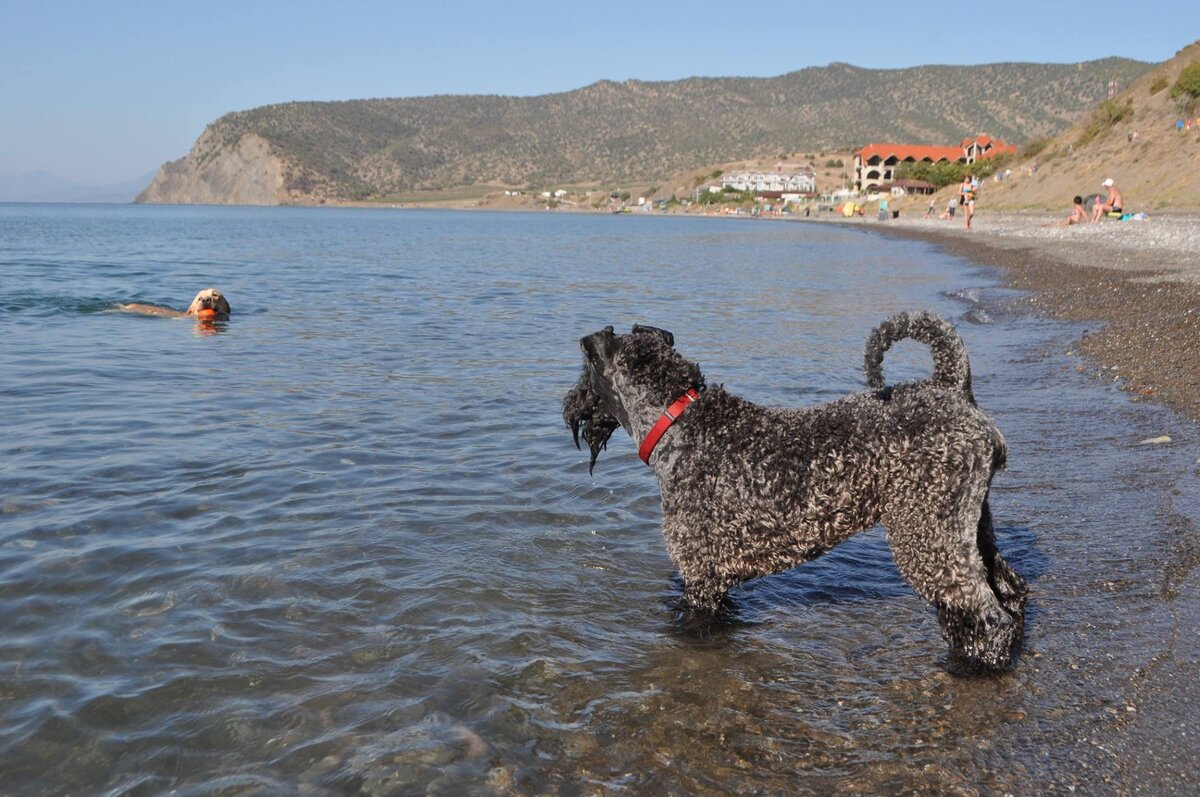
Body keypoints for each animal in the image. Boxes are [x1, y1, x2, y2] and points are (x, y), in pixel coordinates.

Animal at [561, 312, 1022, 672]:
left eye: (585, 372)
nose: (569, 405)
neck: (683, 424)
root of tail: (952, 389)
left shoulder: (700, 576)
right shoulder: (718, 580)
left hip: (928, 534)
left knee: (985, 613)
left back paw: (973, 666)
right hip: (970, 528)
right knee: (1010, 590)